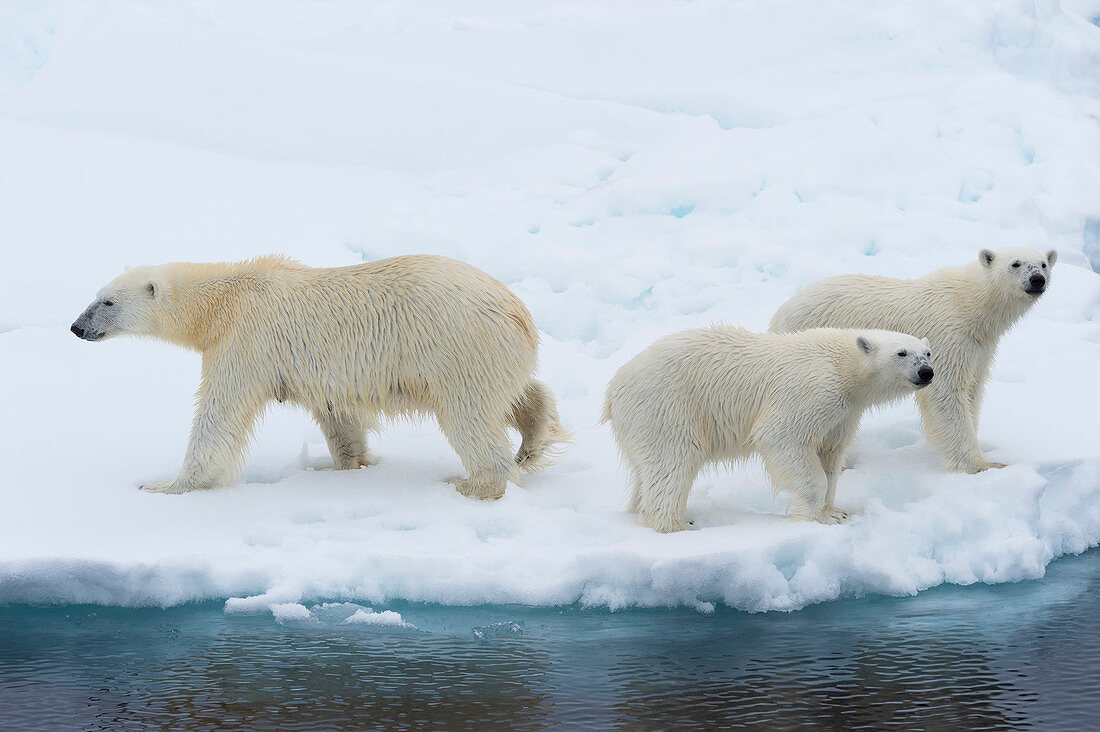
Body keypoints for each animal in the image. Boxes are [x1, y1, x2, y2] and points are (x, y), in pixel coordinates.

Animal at [69, 254, 572, 499]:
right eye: (95, 295)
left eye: (108, 301)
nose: (76, 327)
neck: (225, 299)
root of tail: (517, 311)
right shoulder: (321, 375)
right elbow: (339, 419)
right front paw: (348, 467)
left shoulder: (248, 341)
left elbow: (219, 414)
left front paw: (168, 485)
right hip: (492, 352)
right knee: (520, 392)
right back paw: (534, 439)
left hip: (457, 346)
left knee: (469, 416)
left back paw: (475, 483)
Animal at [607, 325, 932, 530]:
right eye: (902, 353)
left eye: (927, 353)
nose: (926, 372)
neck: (842, 364)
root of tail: (614, 387)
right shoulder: (812, 391)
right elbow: (784, 439)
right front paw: (819, 518)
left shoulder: (844, 413)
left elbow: (829, 454)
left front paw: (835, 511)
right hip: (667, 407)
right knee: (673, 462)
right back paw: (675, 523)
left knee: (648, 471)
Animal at [770, 246, 1051, 473]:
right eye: (1015, 263)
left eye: (1044, 263)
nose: (1037, 280)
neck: (970, 303)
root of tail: (780, 313)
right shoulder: (947, 335)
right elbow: (946, 392)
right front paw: (982, 465)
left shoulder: (979, 348)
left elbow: (973, 389)